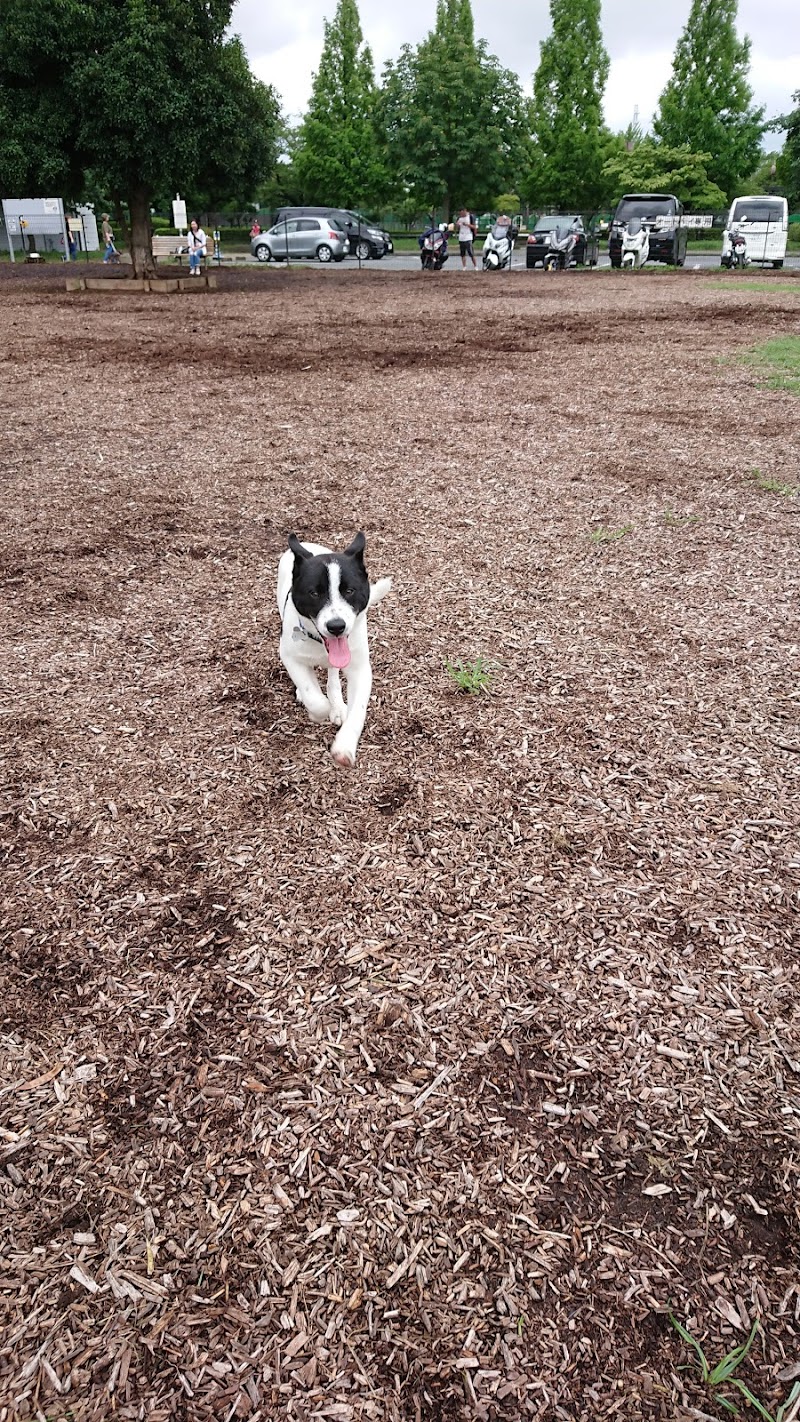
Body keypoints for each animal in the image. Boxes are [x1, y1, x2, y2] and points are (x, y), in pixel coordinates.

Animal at [277, 531, 392, 767]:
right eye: (314, 593)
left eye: (349, 591)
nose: (336, 626)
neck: (320, 644)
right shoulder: (289, 656)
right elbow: (314, 696)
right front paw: (317, 711)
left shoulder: (359, 668)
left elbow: (357, 711)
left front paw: (344, 745)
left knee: (332, 675)